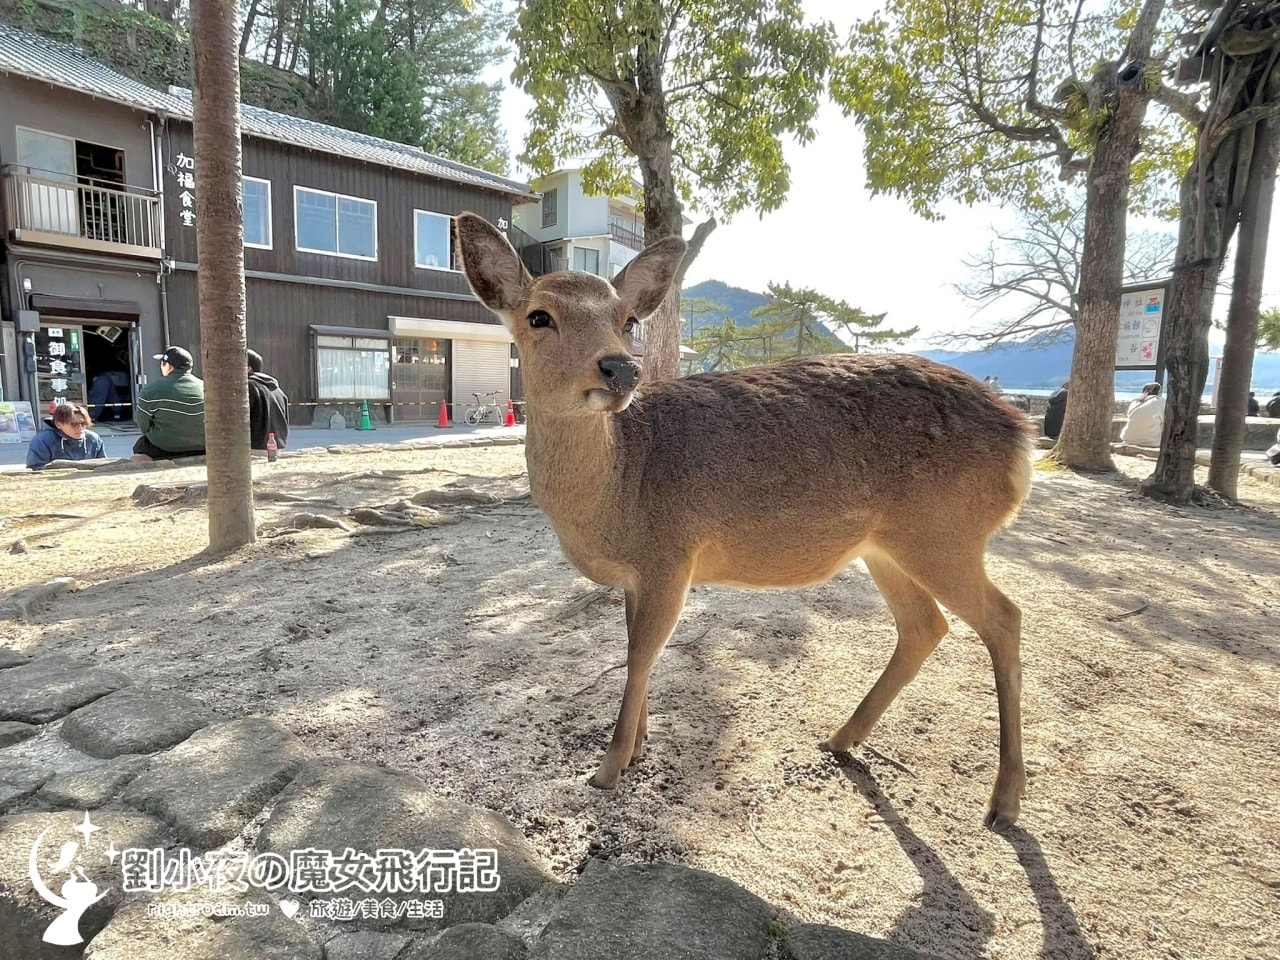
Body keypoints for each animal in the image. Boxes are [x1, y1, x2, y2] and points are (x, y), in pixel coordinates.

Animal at [454, 212, 1036, 829]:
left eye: (627, 320)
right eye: (538, 316)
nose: (620, 367)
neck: (617, 496)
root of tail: (1022, 437)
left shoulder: (671, 555)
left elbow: (641, 656)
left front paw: (607, 770)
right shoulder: (640, 575)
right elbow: (637, 652)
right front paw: (638, 744)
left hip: (945, 531)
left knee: (1004, 616)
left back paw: (1004, 801)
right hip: (887, 545)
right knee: (926, 625)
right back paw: (841, 738)